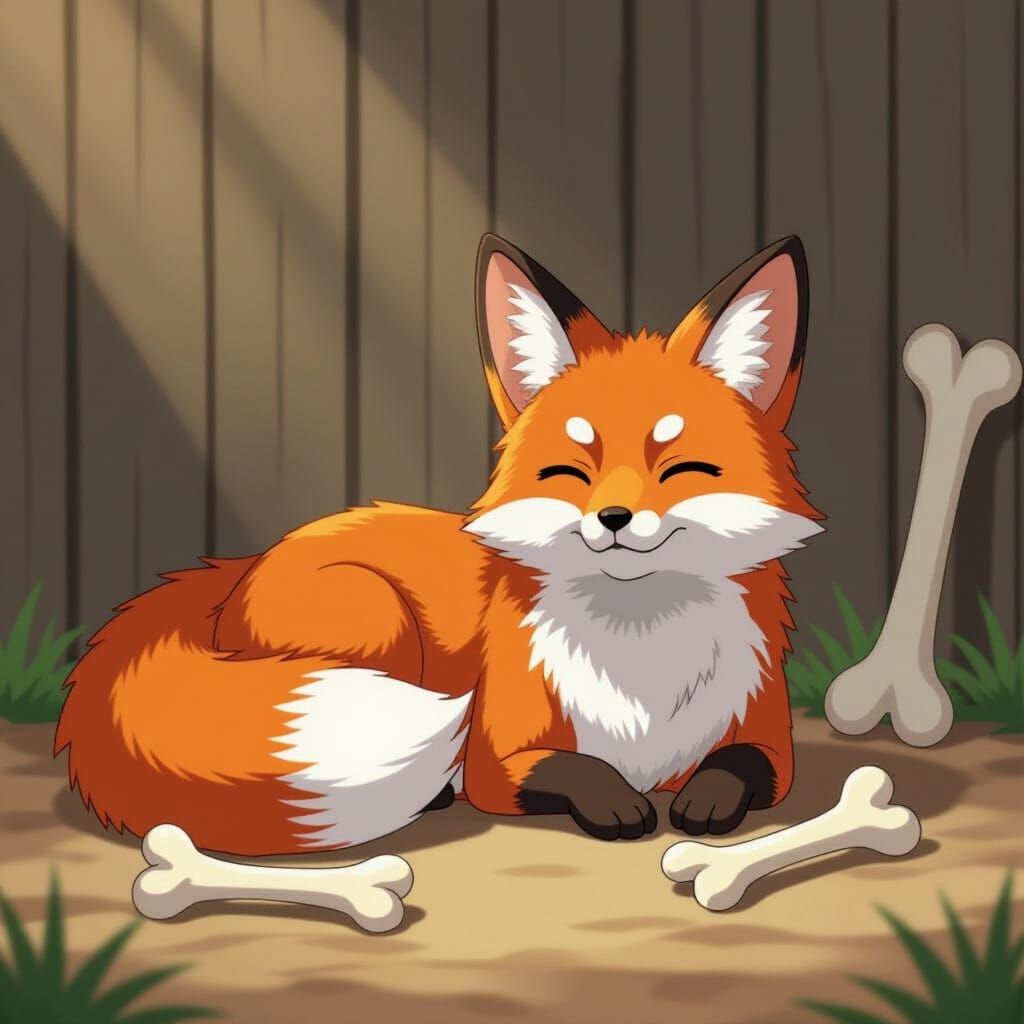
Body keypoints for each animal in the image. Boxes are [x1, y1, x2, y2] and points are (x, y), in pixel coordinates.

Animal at [55, 233, 824, 856]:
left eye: (682, 469)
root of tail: (240, 566)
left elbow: (741, 768)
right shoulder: (500, 758)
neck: (643, 658)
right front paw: (617, 804)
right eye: (569, 473)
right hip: (376, 619)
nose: (611, 517)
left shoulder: (768, 743)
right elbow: (571, 770)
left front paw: (705, 801)